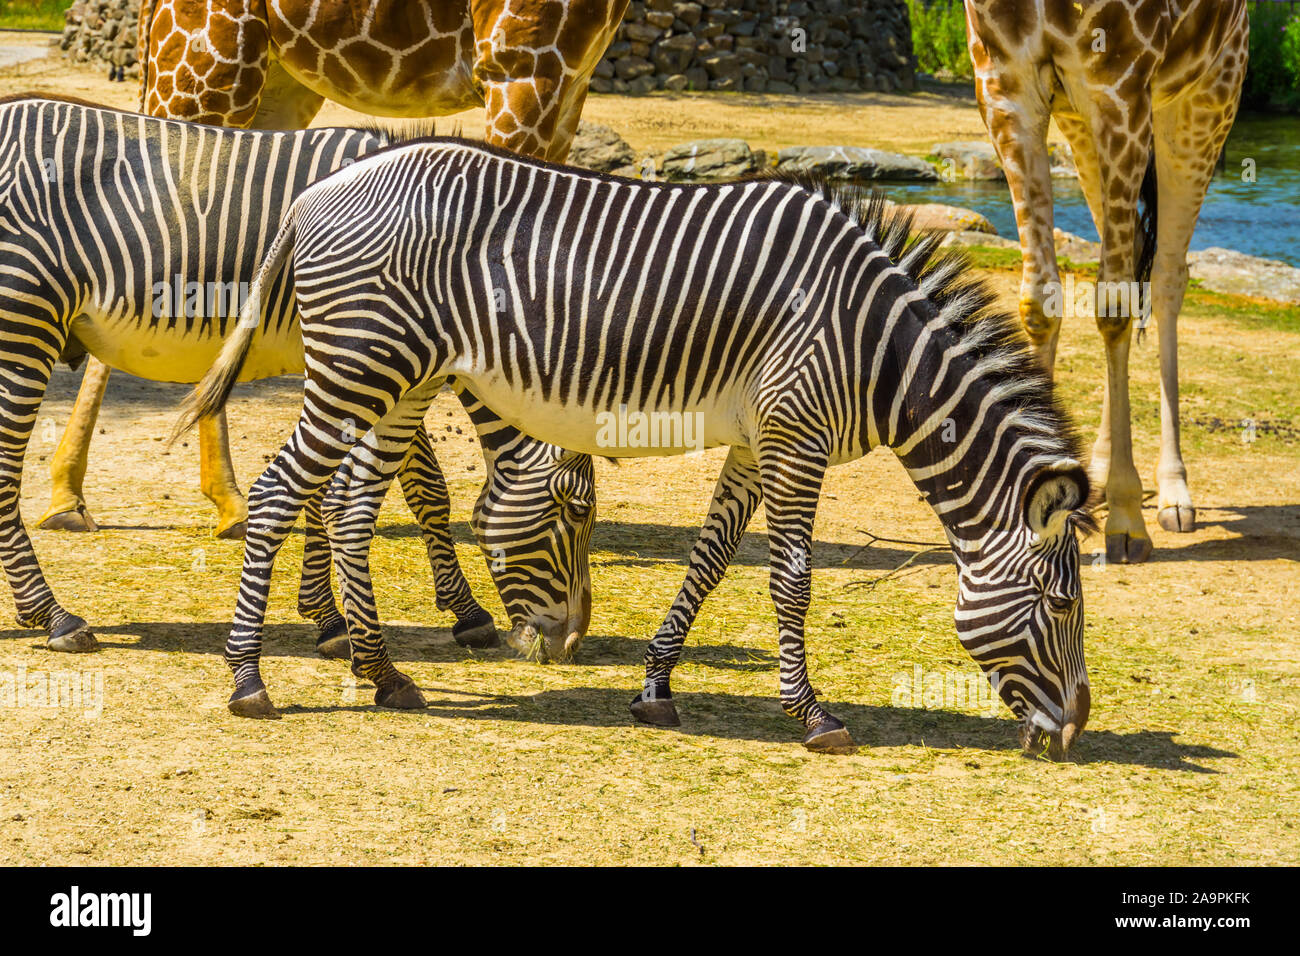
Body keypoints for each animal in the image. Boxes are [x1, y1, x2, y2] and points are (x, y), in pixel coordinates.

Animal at [0, 95, 593, 672]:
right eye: (577, 510)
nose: (571, 645)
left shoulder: (361, 365)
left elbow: (338, 490)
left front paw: (327, 617)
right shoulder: (377, 357)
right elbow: (423, 488)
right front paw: (461, 614)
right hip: (24, 320)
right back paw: (54, 617)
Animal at [183, 138, 1098, 757]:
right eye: (1061, 606)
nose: (1075, 732)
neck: (876, 346)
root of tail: (311, 194)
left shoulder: (757, 439)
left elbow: (711, 557)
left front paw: (656, 687)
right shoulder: (796, 435)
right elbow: (792, 580)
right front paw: (813, 715)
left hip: (403, 379)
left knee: (349, 505)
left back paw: (383, 676)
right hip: (360, 367)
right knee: (279, 490)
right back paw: (248, 680)